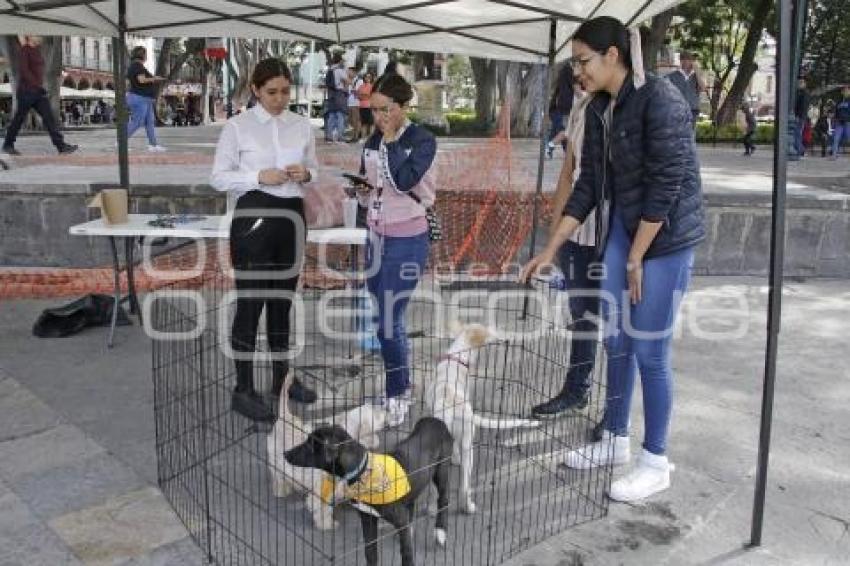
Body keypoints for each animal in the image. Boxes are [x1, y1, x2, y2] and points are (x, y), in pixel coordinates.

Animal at [264, 372, 388, 532]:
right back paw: (281, 491)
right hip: (276, 459)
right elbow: (322, 508)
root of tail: (285, 417)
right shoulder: (321, 491)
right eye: (376, 414)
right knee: (278, 477)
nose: (386, 411)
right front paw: (326, 524)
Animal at [284, 418, 454, 566]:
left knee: (443, 499)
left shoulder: (399, 520)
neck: (364, 472)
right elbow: (370, 552)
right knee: (411, 505)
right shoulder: (367, 517)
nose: (285, 453)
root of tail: (435, 420)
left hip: (442, 470)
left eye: (311, 446)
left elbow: (406, 553)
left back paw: (440, 531)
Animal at [422, 324, 536, 516]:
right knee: (463, 486)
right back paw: (465, 507)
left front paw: (454, 458)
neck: (457, 358)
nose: (499, 336)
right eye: (488, 332)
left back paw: (434, 508)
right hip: (469, 447)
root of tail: (450, 409)